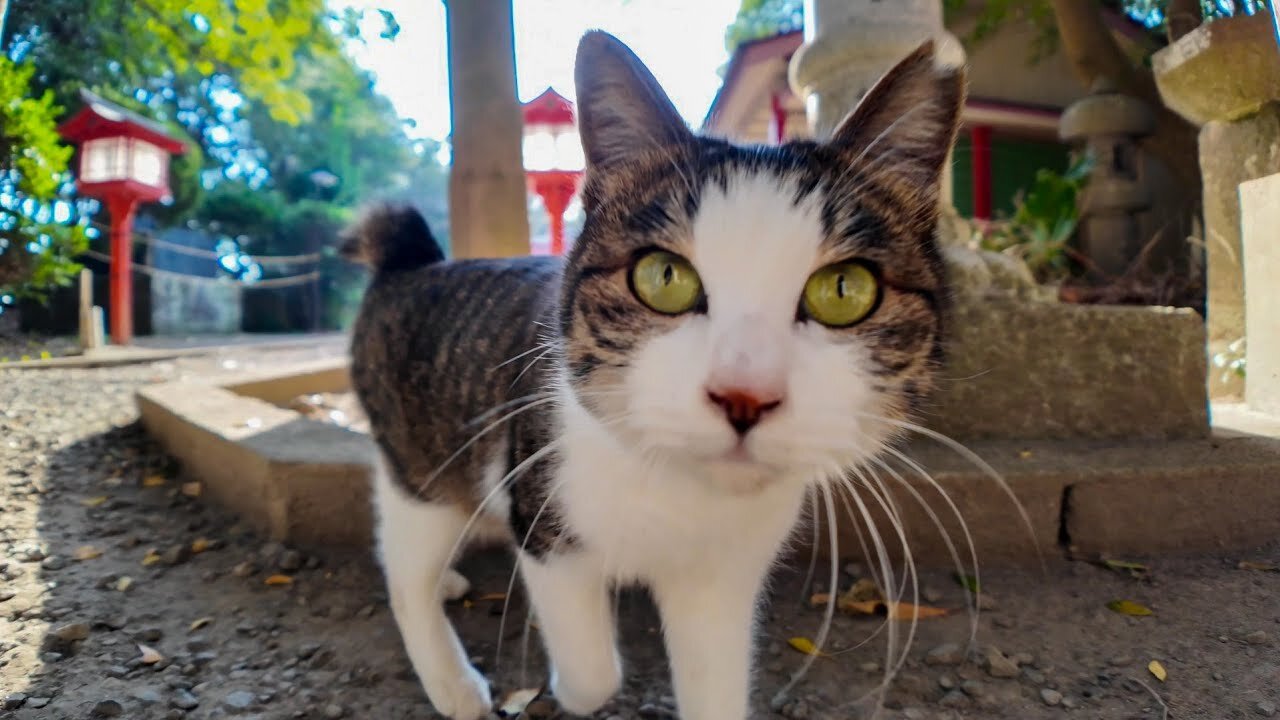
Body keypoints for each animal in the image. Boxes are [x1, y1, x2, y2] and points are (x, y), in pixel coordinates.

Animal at [345, 29, 962, 717]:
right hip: (418, 464)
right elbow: (593, 673)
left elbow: (715, 684)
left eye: (844, 290)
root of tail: (411, 264)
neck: (682, 496)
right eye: (664, 277)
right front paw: (565, 684)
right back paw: (452, 680)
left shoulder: (722, 581)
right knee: (404, 571)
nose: (744, 396)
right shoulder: (545, 513)